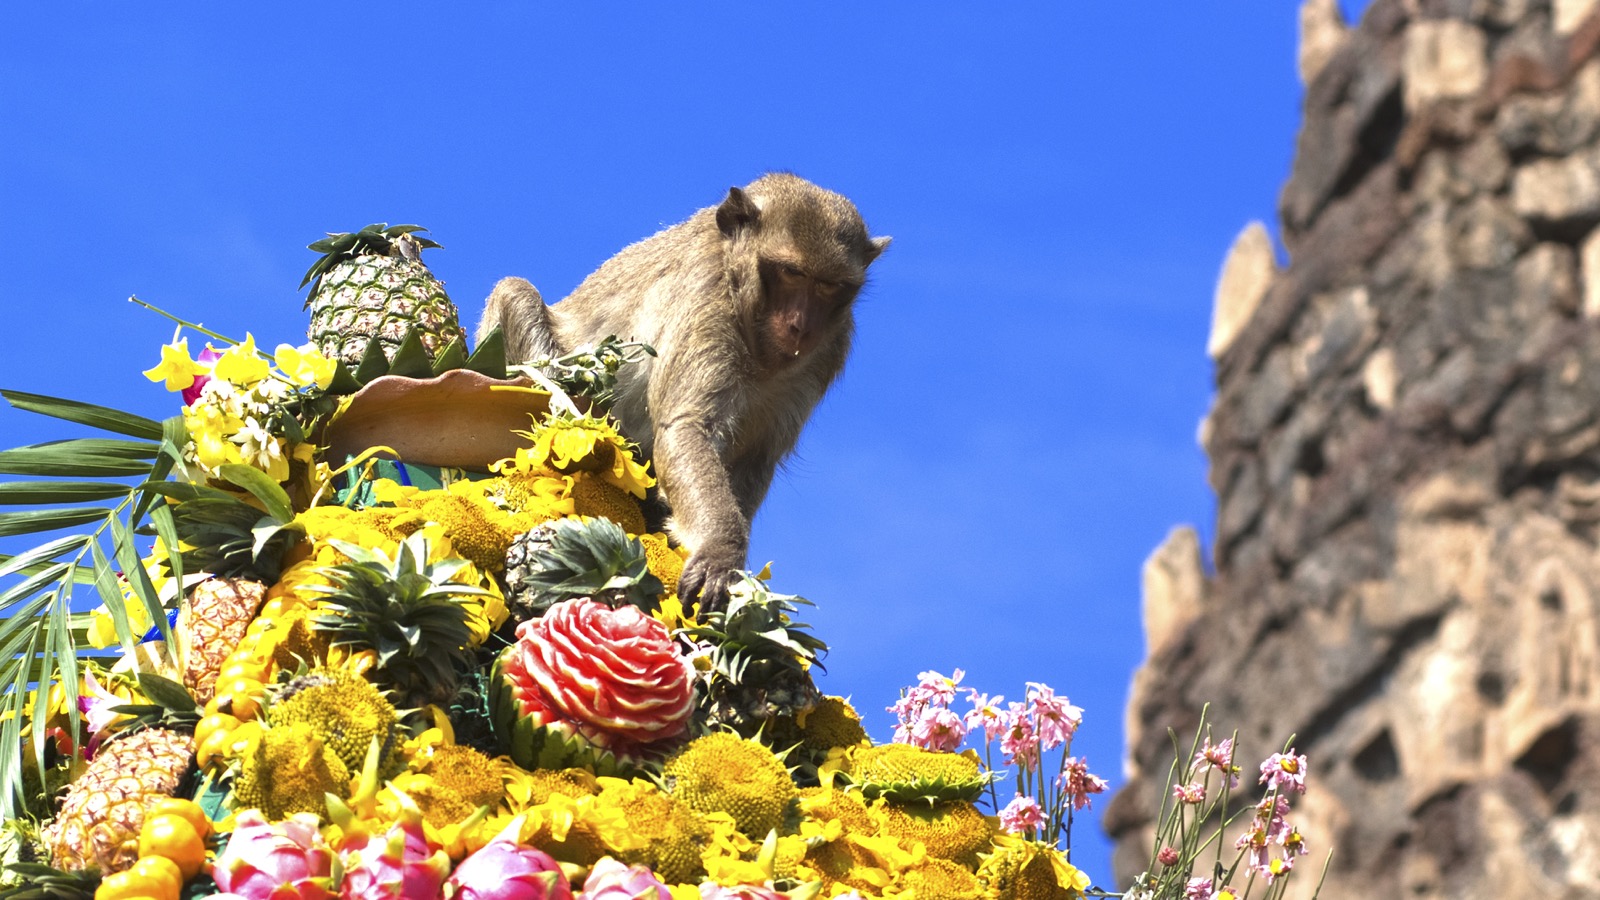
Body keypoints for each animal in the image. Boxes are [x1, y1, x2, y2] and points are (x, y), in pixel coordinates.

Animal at [479, 173, 890, 609]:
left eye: (830, 286)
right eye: (792, 273)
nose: (801, 326)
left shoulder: (828, 349)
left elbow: (756, 458)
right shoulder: (708, 298)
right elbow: (685, 427)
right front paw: (720, 551)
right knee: (515, 294)